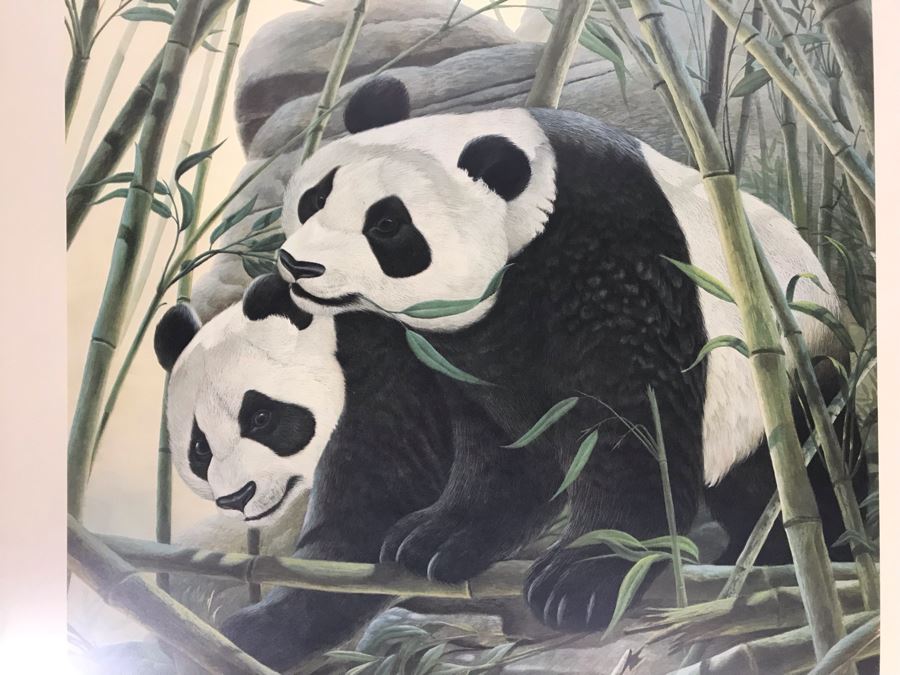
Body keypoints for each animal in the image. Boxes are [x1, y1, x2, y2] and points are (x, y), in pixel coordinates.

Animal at [273, 77, 859, 635]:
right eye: (315, 199)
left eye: (387, 225)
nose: (299, 266)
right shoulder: (452, 342)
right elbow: (492, 443)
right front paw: (437, 536)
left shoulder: (621, 256)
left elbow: (635, 424)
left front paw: (583, 576)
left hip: (791, 374)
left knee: (794, 472)